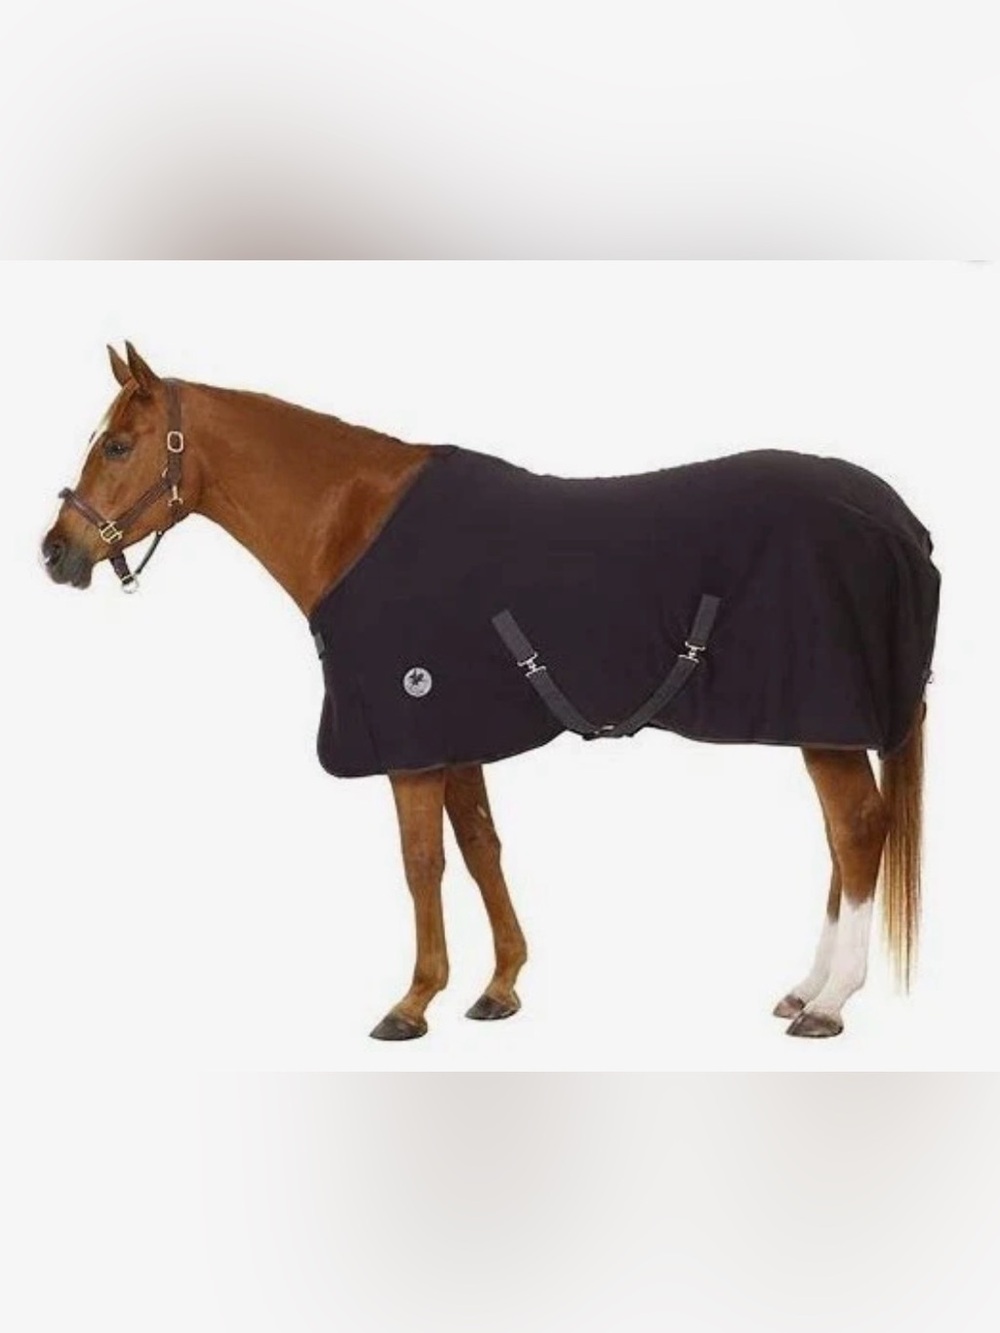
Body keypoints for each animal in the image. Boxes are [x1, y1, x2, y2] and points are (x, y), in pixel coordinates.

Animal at [41, 344, 939, 1041]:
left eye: (117, 445)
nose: (56, 552)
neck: (355, 521)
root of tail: (896, 517)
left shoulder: (410, 737)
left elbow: (422, 862)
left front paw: (413, 1001)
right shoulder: (455, 730)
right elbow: (480, 846)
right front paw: (500, 986)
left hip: (823, 718)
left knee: (858, 829)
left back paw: (829, 1003)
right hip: (823, 726)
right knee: (844, 839)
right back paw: (805, 987)